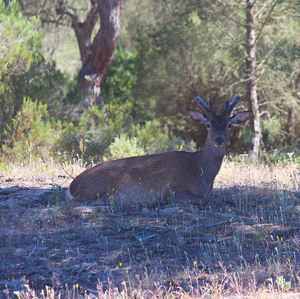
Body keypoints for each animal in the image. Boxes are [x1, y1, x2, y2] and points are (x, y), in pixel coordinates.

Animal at [65, 96, 251, 209]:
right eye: (208, 124)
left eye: (229, 124)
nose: (219, 140)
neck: (201, 172)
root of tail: (72, 186)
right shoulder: (173, 190)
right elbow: (207, 200)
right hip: (103, 185)